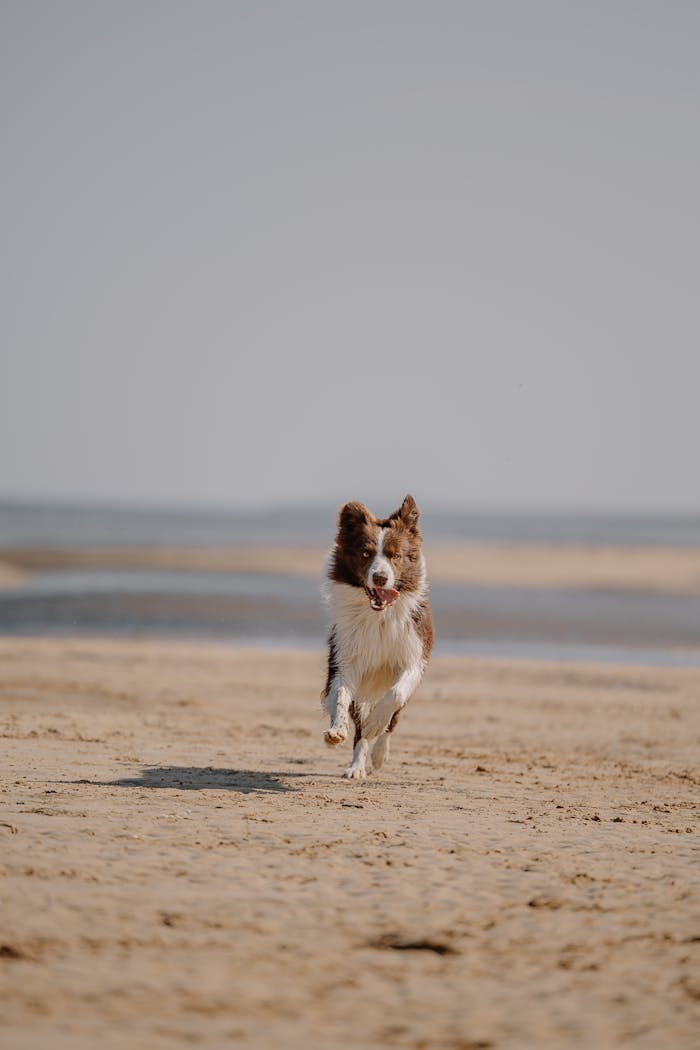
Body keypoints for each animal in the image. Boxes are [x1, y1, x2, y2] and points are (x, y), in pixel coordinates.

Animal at [321, 493, 432, 781]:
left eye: (396, 556)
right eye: (365, 553)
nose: (380, 578)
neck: (379, 616)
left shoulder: (414, 658)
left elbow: (394, 695)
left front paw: (375, 727)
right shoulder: (345, 656)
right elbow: (341, 695)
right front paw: (337, 730)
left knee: (392, 721)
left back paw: (379, 753)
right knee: (359, 726)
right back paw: (356, 766)